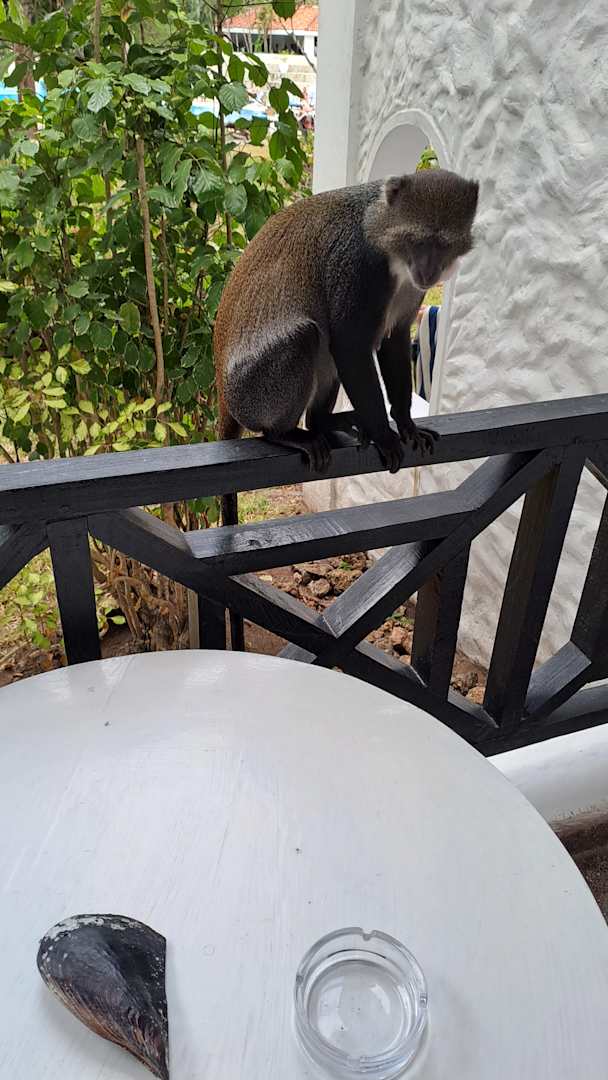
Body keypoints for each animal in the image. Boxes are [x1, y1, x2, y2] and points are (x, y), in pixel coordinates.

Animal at [214, 168, 479, 529]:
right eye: (418, 242)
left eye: (444, 245)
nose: (428, 270)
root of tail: (226, 397)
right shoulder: (358, 264)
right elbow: (350, 345)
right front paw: (384, 435)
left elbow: (394, 340)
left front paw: (406, 424)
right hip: (251, 393)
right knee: (308, 337)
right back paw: (282, 433)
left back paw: (321, 422)